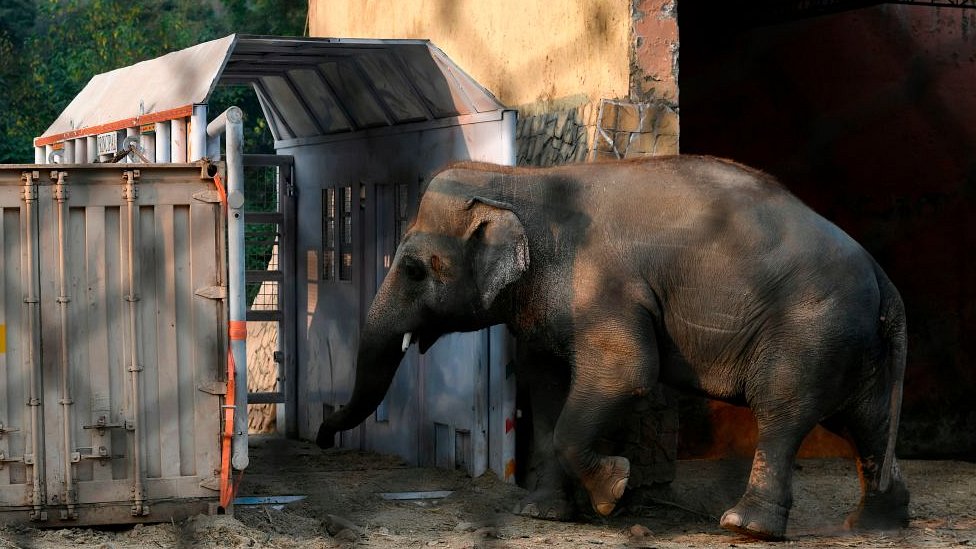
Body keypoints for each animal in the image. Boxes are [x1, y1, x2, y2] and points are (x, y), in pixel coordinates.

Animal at [316, 154, 912, 540]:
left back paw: (745, 527)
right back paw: (879, 524)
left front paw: (612, 491)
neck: (522, 182)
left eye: (414, 269)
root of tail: (883, 275)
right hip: (854, 342)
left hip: (811, 327)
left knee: (784, 413)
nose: (321, 435)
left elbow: (626, 372)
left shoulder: (604, 281)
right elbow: (546, 385)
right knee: (865, 422)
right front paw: (541, 515)